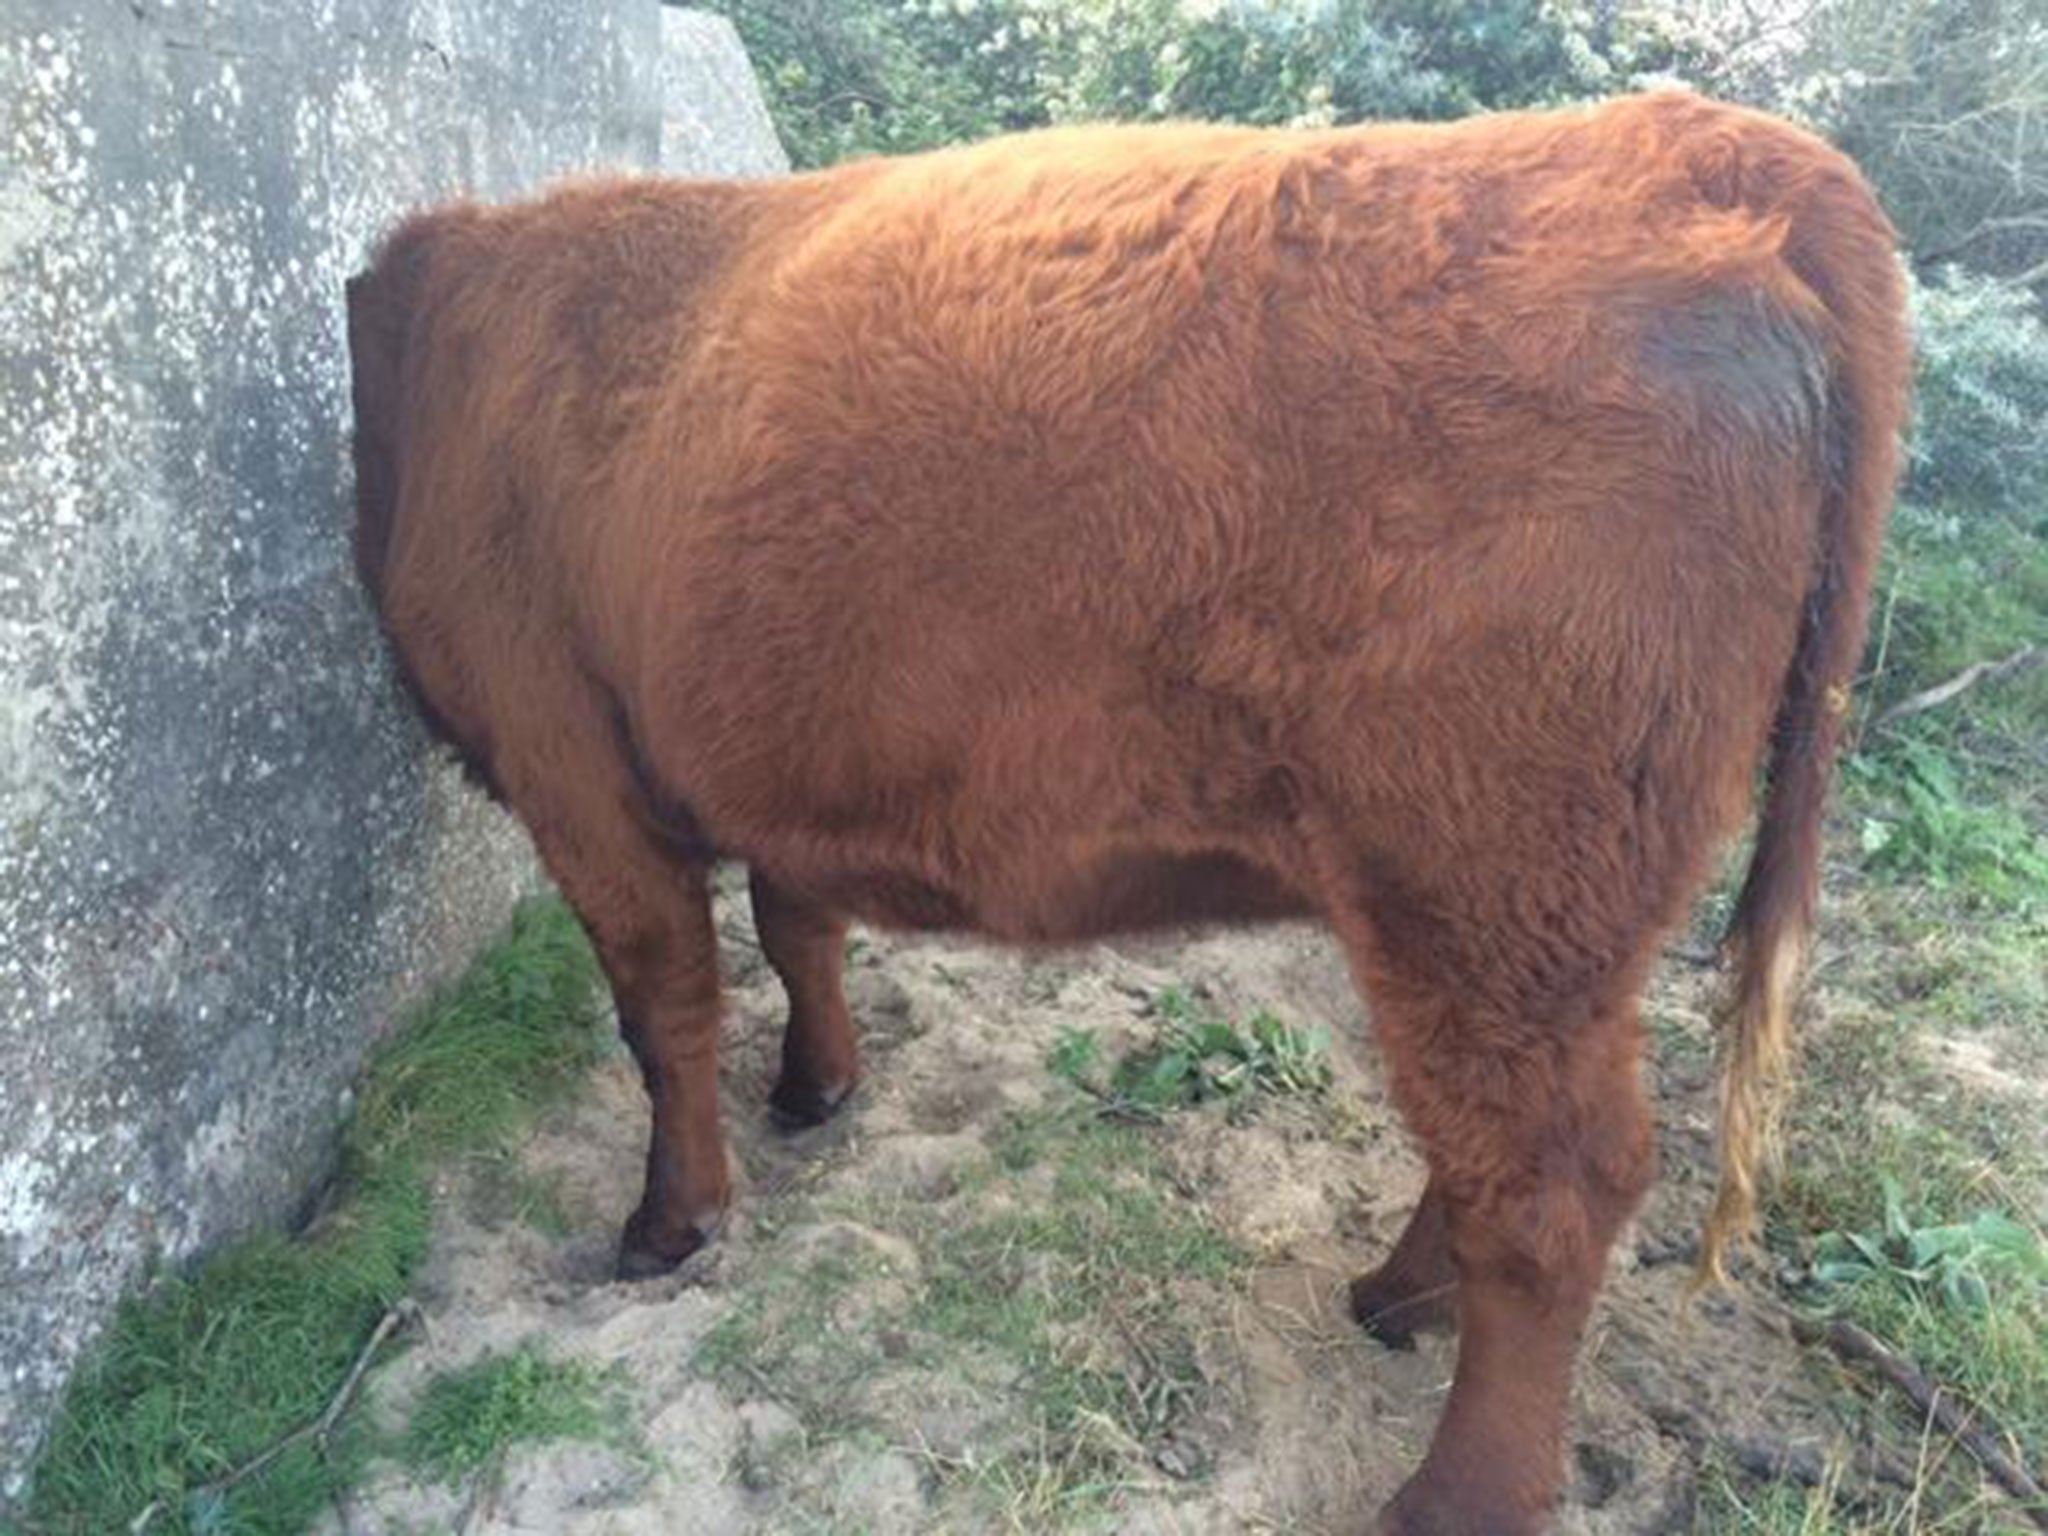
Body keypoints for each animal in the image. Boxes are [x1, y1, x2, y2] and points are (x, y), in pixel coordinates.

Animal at [348, 96, 1900, 1536]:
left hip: (1492, 887)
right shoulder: (778, 765)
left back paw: (1451, 1492)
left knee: (1547, 1187)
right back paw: (1396, 1296)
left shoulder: (571, 766)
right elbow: (798, 929)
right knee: (1493, 1151)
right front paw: (816, 1087)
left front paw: (670, 1222)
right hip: (1516, 933)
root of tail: (1704, 148)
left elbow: (663, 1008)